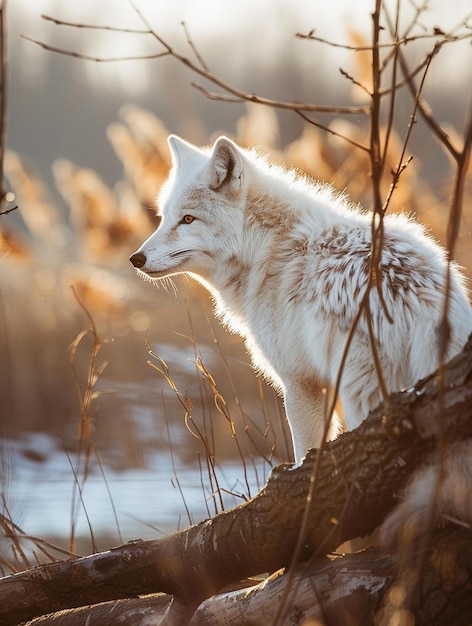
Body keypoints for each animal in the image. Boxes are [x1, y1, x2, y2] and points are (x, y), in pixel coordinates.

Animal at [129, 134, 472, 540]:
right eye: (165, 218)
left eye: (187, 219)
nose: (136, 259)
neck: (265, 248)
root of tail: (419, 296)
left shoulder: (300, 384)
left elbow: (304, 452)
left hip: (363, 400)